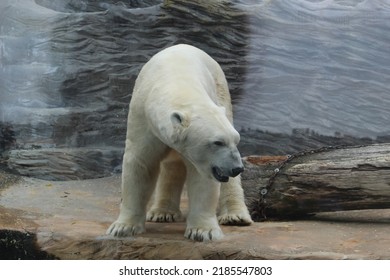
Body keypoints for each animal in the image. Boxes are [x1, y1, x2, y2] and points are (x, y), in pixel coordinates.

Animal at [106, 43, 253, 241]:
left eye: (235, 139)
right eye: (217, 142)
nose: (237, 168)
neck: (177, 83)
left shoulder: (207, 160)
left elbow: (202, 177)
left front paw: (202, 231)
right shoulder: (142, 117)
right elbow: (140, 164)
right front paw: (122, 227)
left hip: (222, 91)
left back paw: (235, 216)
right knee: (171, 164)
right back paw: (162, 212)